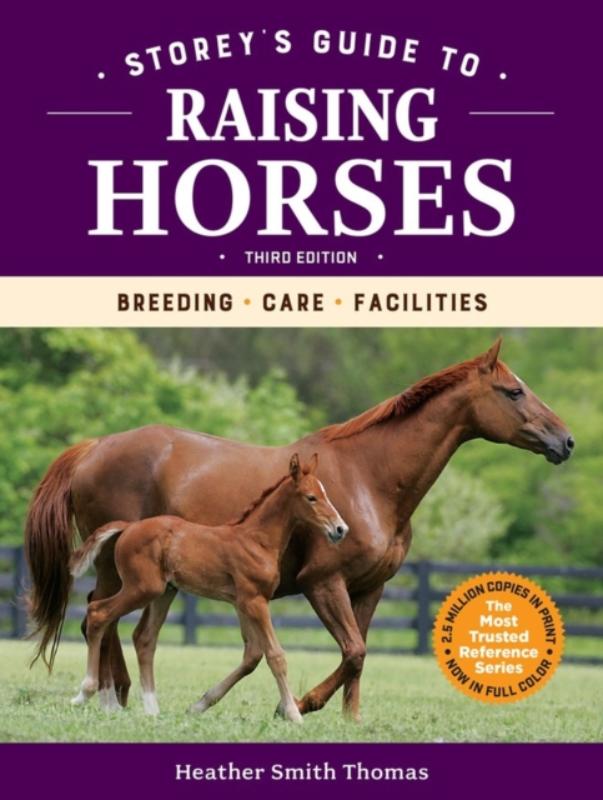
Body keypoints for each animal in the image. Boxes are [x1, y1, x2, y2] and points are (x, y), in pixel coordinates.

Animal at [68, 453, 347, 722]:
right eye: (311, 497)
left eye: (325, 493)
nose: (340, 529)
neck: (256, 540)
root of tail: (129, 527)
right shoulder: (255, 600)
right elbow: (276, 655)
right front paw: (292, 714)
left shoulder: (241, 603)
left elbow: (253, 653)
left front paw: (199, 705)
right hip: (142, 588)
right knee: (98, 612)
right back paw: (85, 693)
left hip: (164, 592)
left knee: (144, 638)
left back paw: (151, 709)